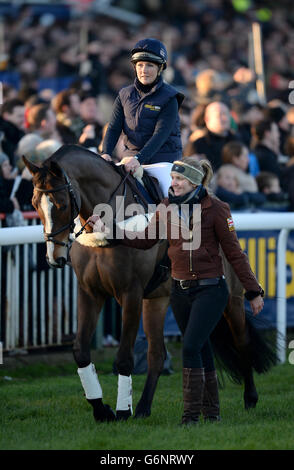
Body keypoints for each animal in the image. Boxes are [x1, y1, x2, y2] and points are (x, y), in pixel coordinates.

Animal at [23, 144, 276, 422]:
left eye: (61, 203)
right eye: (34, 203)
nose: (54, 257)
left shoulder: (130, 294)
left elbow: (124, 357)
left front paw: (122, 411)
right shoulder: (90, 293)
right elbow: (80, 351)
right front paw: (102, 409)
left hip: (231, 297)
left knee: (241, 340)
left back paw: (250, 397)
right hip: (159, 299)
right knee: (159, 354)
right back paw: (145, 407)